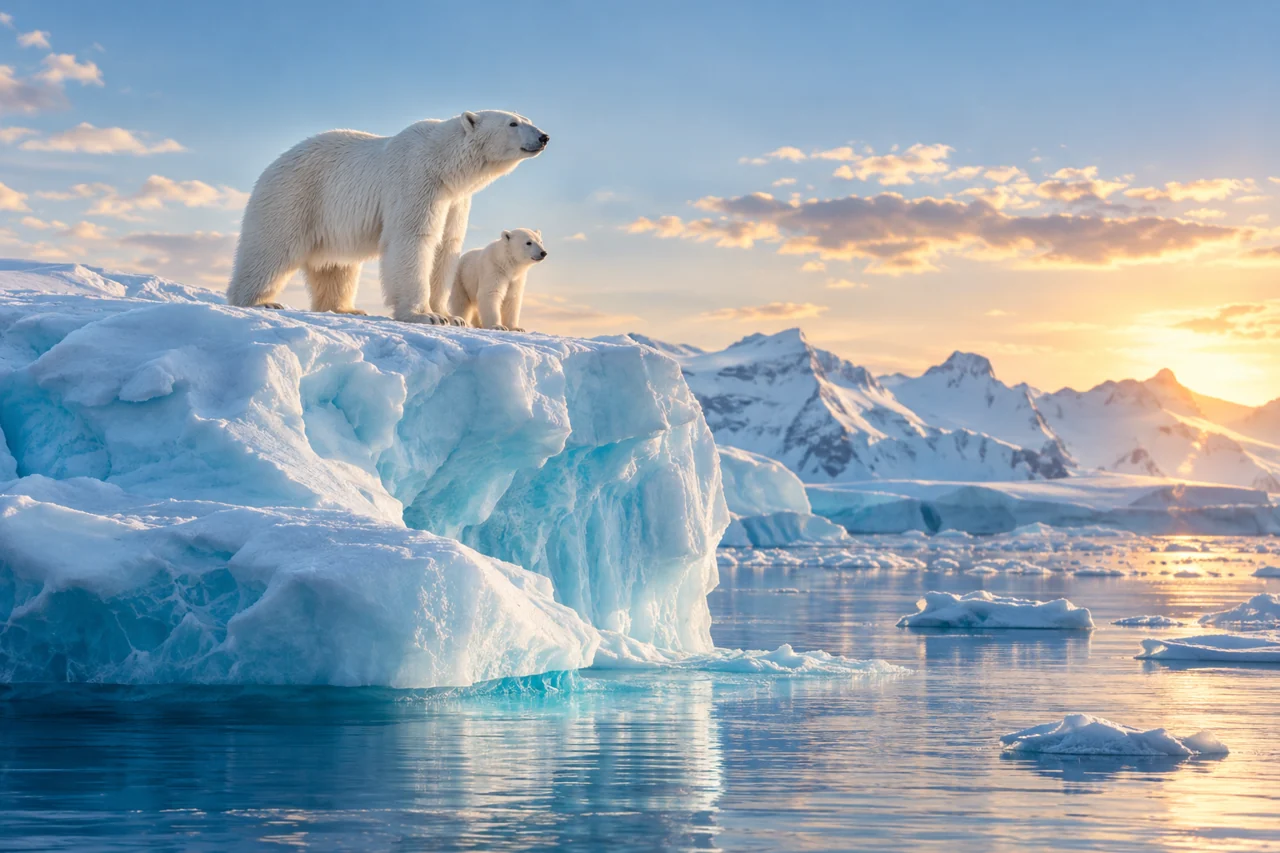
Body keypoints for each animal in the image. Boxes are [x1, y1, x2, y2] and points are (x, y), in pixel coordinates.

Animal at [226, 110, 548, 324]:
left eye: (527, 118)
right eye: (513, 123)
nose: (544, 136)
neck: (443, 164)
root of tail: (273, 165)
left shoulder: (454, 200)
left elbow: (446, 246)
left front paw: (450, 316)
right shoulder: (417, 181)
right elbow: (413, 239)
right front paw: (425, 316)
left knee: (336, 266)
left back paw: (346, 307)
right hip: (297, 196)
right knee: (271, 247)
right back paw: (260, 302)